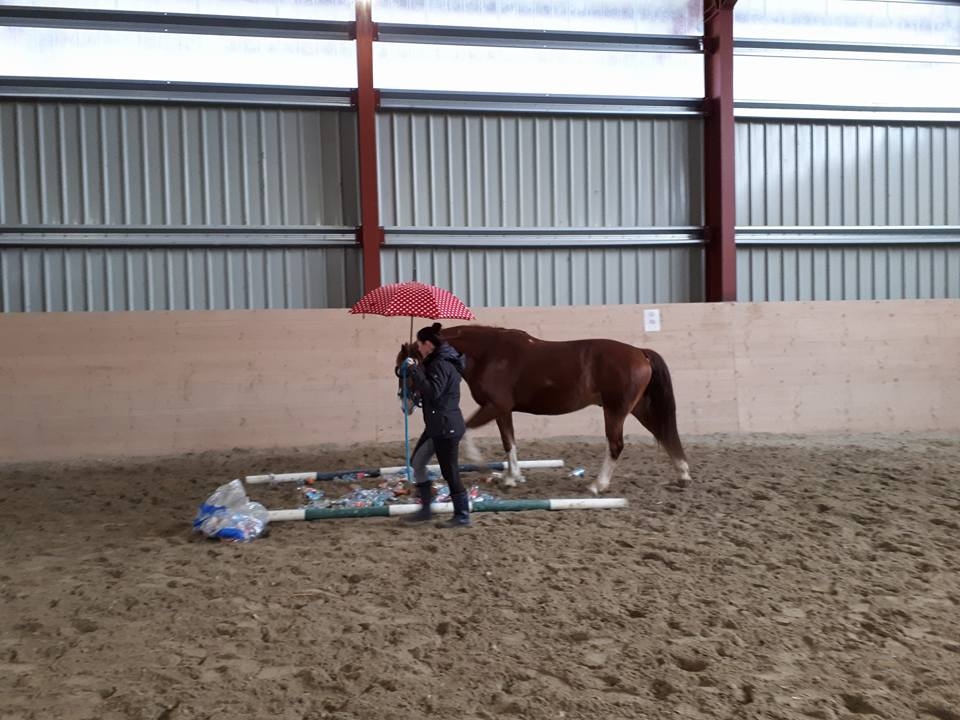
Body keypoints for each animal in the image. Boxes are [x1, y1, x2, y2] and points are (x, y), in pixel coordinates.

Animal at [395, 324, 691, 494]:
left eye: (405, 370)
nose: (404, 405)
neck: (489, 354)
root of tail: (640, 352)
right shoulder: (503, 411)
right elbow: (509, 443)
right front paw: (512, 477)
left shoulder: (494, 406)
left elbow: (466, 432)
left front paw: (484, 467)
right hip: (638, 409)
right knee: (664, 434)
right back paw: (683, 475)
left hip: (615, 411)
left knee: (616, 445)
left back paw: (598, 485)